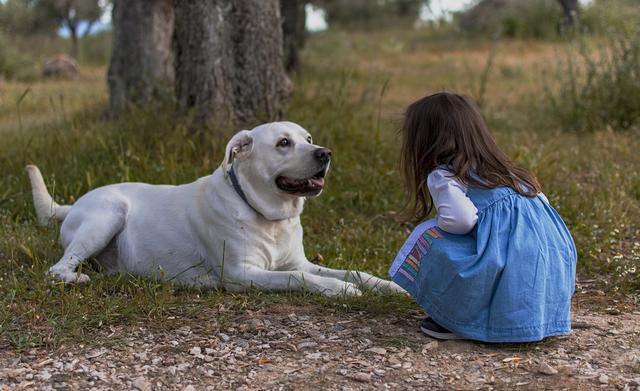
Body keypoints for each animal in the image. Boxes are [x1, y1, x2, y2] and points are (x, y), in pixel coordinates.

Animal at [27, 121, 402, 298]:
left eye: (308, 138)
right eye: (283, 143)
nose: (325, 153)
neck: (268, 217)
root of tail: (72, 204)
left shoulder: (299, 261)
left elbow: (353, 272)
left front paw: (388, 286)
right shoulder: (241, 273)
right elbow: (299, 278)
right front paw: (339, 290)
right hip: (108, 214)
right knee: (56, 269)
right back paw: (76, 278)